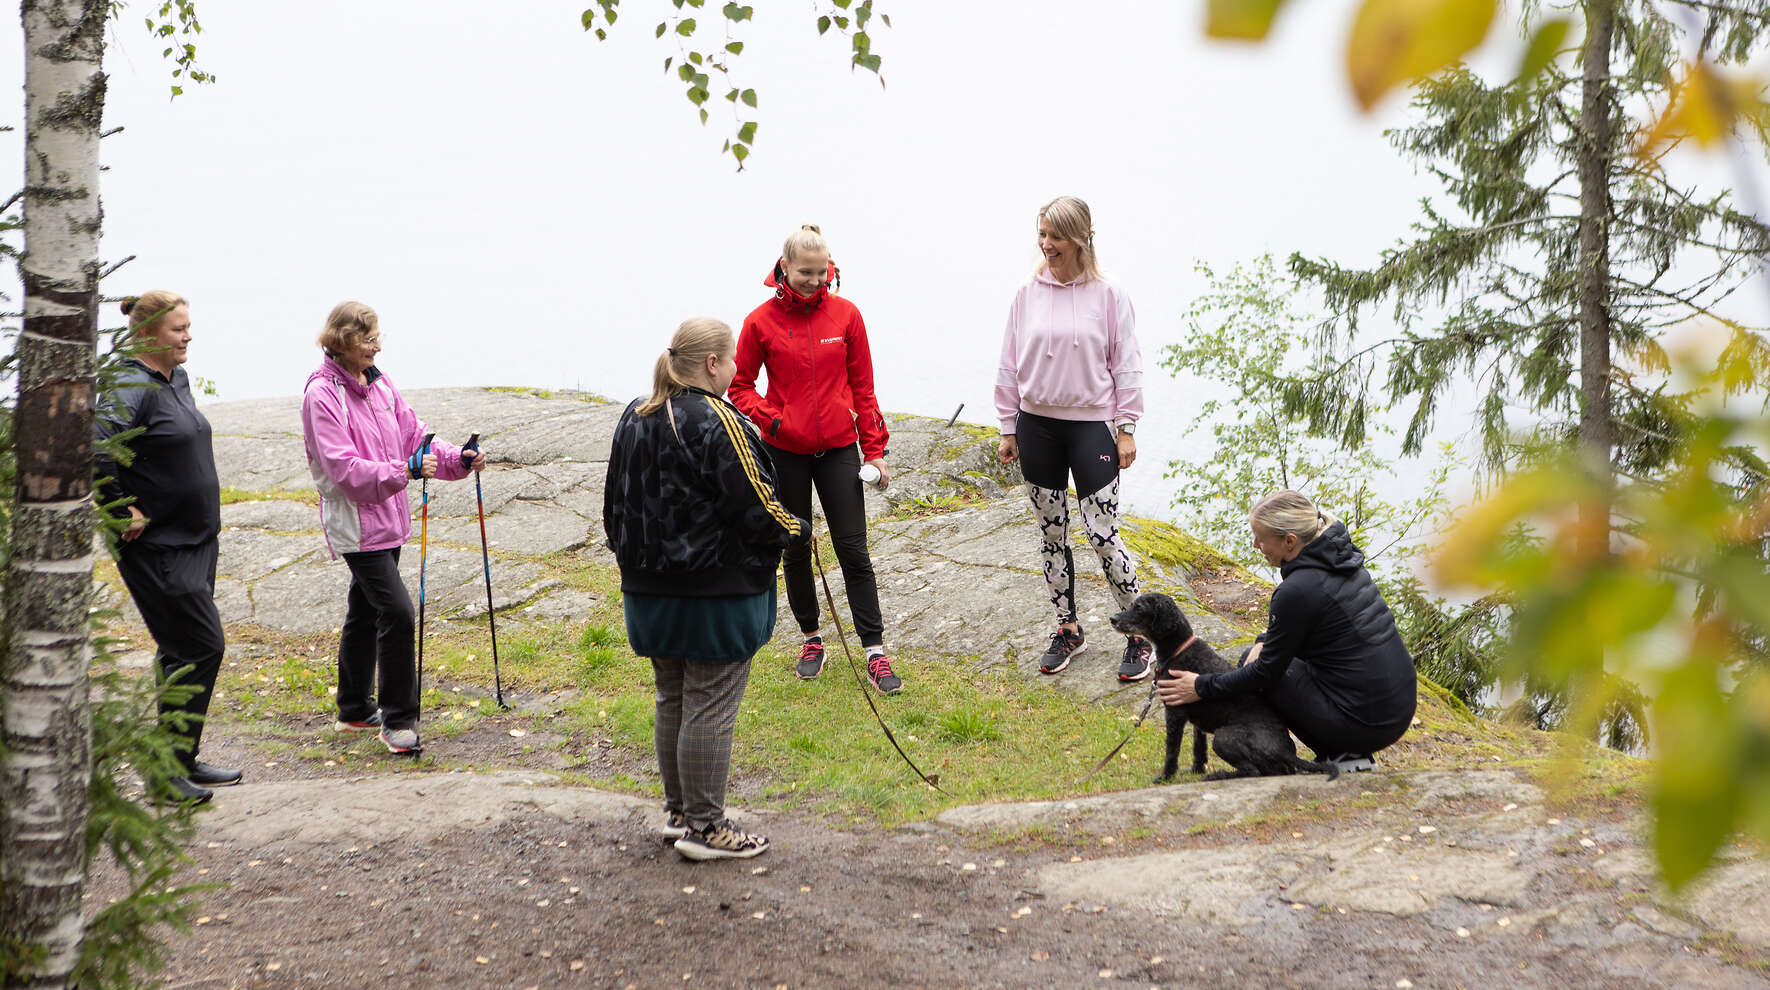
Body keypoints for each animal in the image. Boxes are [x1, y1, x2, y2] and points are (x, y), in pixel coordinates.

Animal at [1110, 593, 1338, 783]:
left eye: (1139, 607)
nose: (1113, 618)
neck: (1180, 650)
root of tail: (1286, 752)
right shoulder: (1197, 723)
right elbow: (1198, 748)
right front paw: (1196, 770)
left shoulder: (1174, 713)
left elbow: (1172, 751)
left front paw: (1166, 777)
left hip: (1223, 737)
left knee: (1253, 771)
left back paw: (1219, 775)